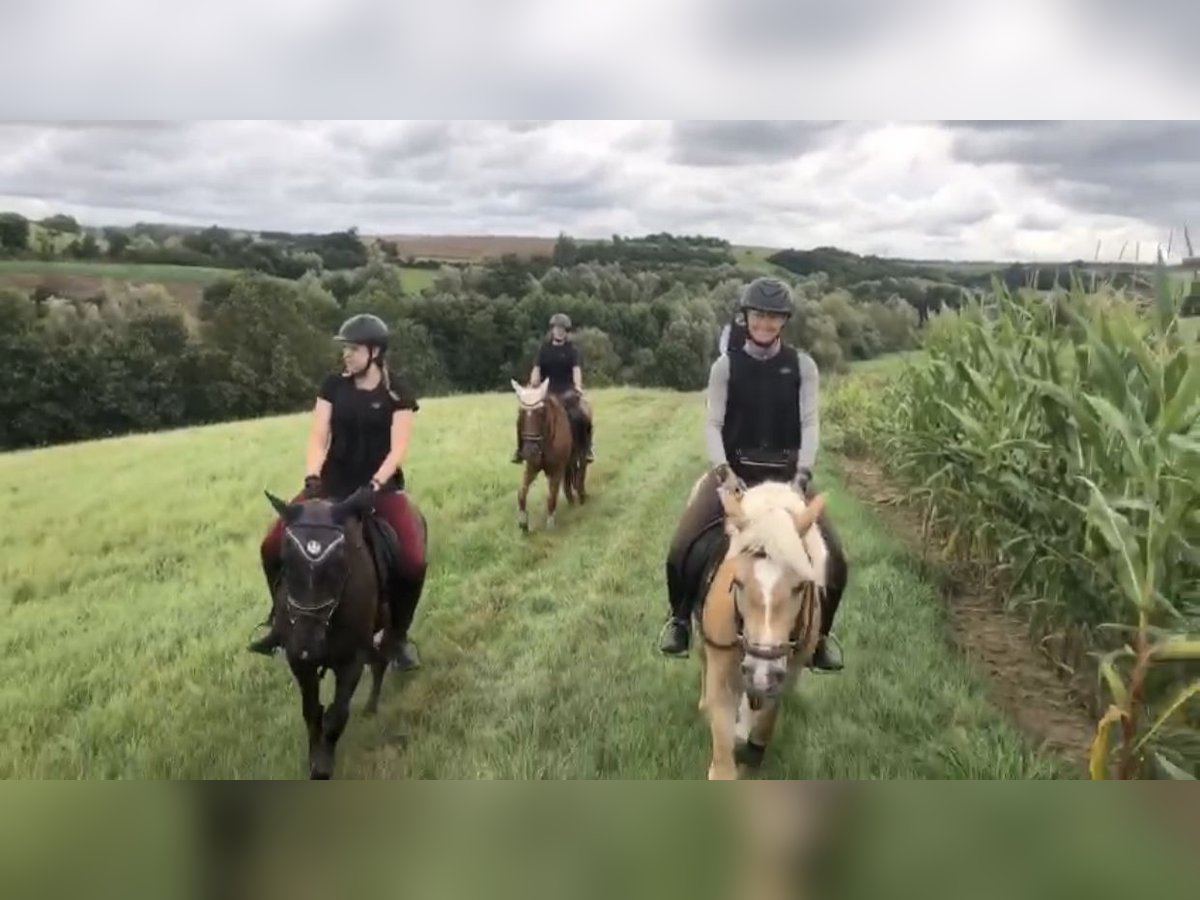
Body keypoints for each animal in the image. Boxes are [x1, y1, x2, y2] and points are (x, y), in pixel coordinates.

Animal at [262, 489, 393, 777]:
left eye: (339, 564)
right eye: (286, 562)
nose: (309, 644)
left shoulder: (352, 661)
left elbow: (336, 716)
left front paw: (322, 767)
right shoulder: (299, 661)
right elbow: (312, 711)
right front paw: (314, 758)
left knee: (382, 660)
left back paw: (371, 706)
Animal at [513, 376, 592, 532]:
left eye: (541, 412)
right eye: (521, 412)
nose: (530, 451)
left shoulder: (556, 470)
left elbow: (551, 496)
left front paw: (550, 523)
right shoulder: (532, 468)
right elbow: (521, 493)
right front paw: (523, 522)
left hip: (581, 455)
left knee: (581, 474)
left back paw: (581, 496)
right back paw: (571, 499)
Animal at [696, 480, 825, 782]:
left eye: (799, 586)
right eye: (737, 582)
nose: (761, 671)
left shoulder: (784, 678)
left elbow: (765, 720)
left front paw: (752, 750)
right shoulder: (723, 679)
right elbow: (723, 759)